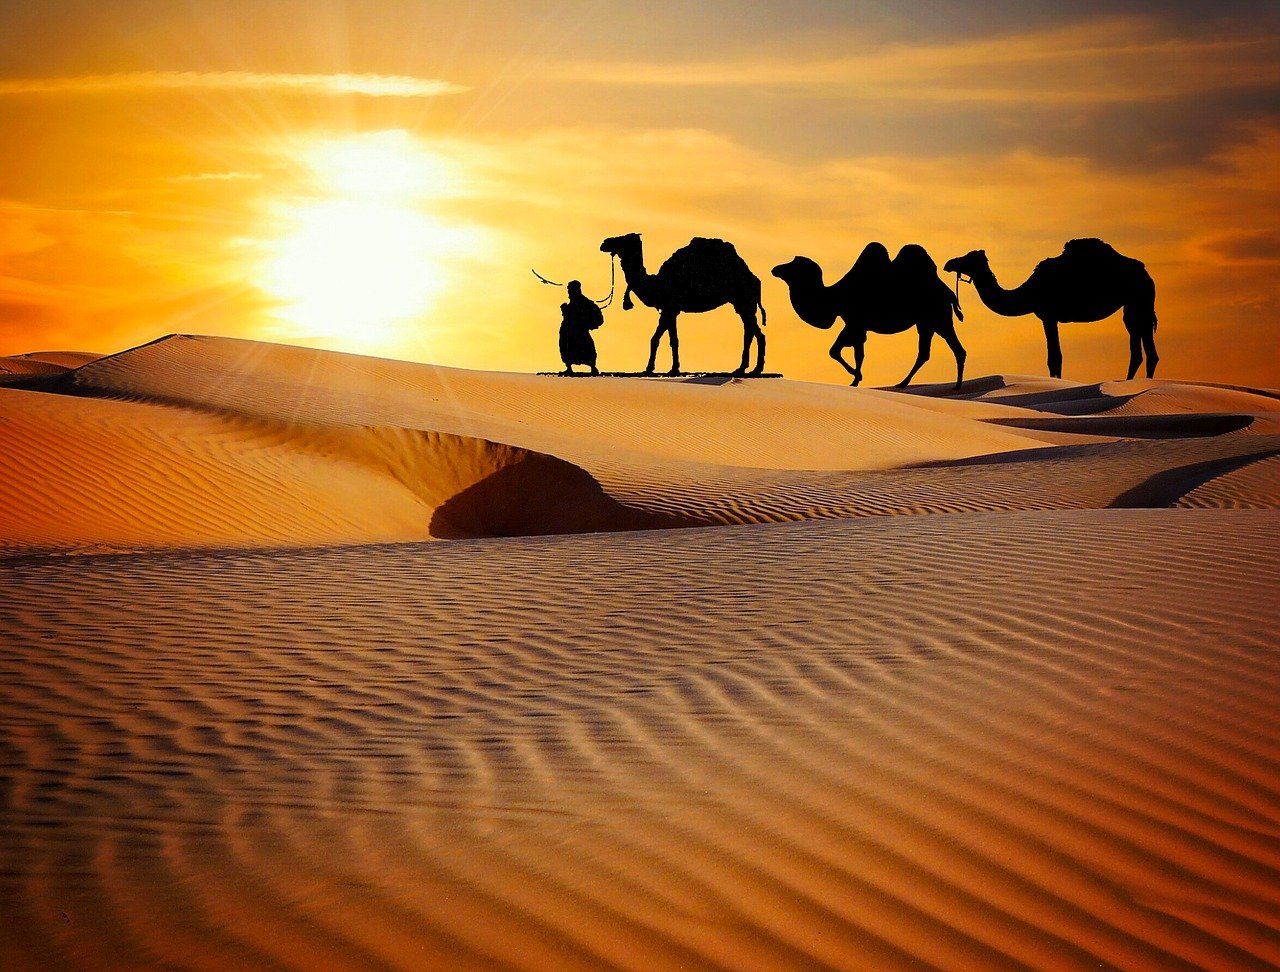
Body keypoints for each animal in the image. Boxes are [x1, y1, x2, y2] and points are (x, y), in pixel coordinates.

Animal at [599, 233, 766, 375]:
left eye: (624, 239)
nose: (604, 243)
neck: (657, 285)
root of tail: (755, 280)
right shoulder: (672, 310)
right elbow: (673, 340)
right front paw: (674, 369)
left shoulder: (669, 308)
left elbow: (655, 338)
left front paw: (649, 369)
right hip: (742, 304)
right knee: (750, 331)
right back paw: (746, 368)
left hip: (745, 300)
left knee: (754, 332)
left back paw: (753, 369)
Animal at [771, 243, 966, 389]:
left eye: (793, 265)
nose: (775, 269)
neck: (834, 297)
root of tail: (949, 293)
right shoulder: (858, 326)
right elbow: (855, 353)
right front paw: (856, 379)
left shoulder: (854, 322)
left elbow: (836, 351)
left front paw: (856, 376)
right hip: (926, 323)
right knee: (927, 353)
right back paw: (905, 383)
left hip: (938, 319)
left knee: (953, 349)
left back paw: (952, 386)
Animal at [943, 239, 1158, 380]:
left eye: (968, 258)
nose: (949, 263)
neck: (1030, 291)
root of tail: (1147, 275)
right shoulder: (1048, 317)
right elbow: (1054, 358)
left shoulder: (1048, 315)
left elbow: (1055, 358)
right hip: (1135, 305)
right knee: (1142, 348)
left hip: (1139, 300)